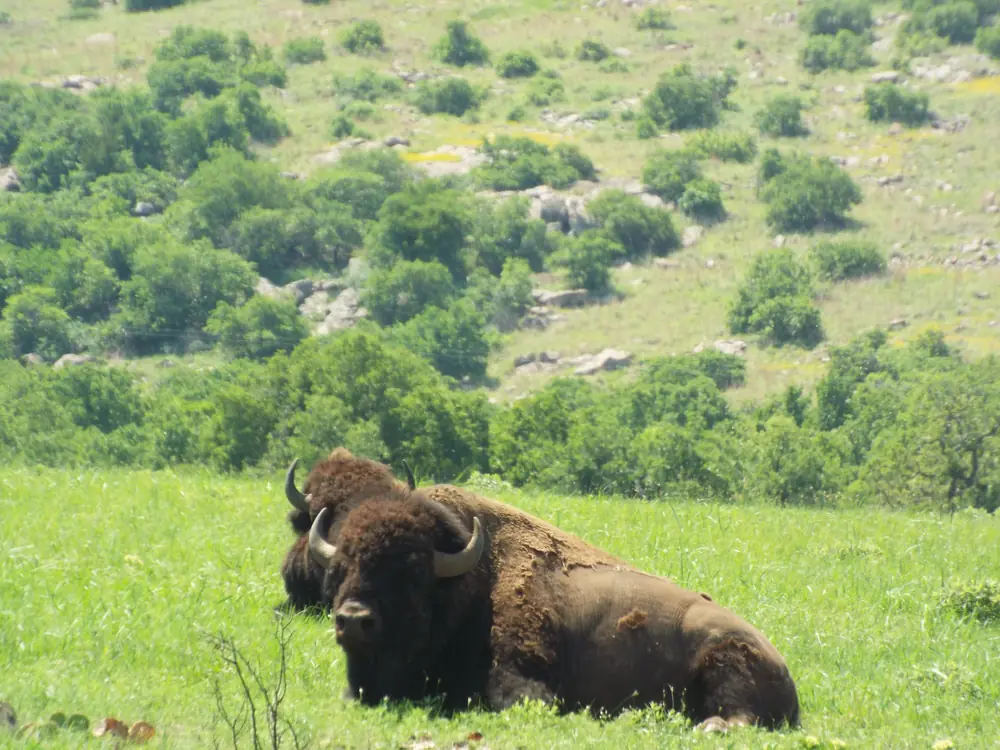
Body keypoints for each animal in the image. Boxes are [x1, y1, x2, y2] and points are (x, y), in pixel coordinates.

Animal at [306, 491, 800, 732]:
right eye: (341, 568)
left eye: (411, 571)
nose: (354, 621)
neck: (470, 584)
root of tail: (783, 667)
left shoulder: (525, 685)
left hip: (726, 659)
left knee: (740, 718)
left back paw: (708, 728)